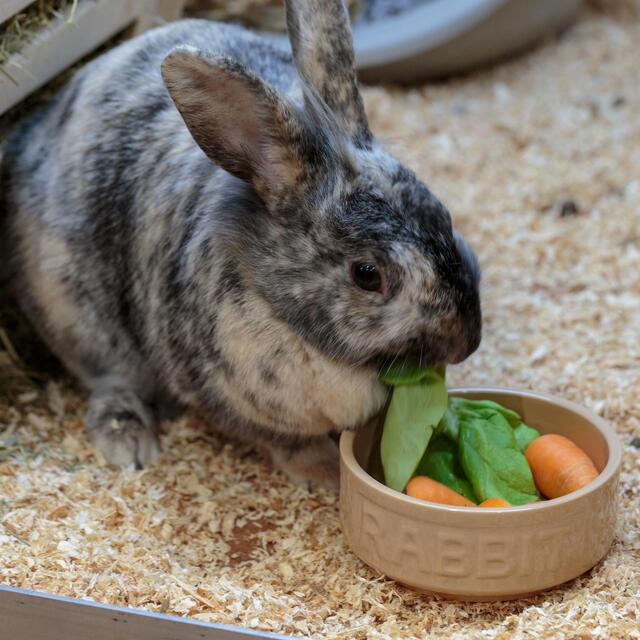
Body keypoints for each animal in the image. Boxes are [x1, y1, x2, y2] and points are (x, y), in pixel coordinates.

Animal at [0, 0, 481, 487]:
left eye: (444, 216)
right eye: (367, 275)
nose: (467, 342)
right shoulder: (232, 401)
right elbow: (288, 442)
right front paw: (324, 472)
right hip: (81, 322)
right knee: (110, 382)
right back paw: (129, 443)